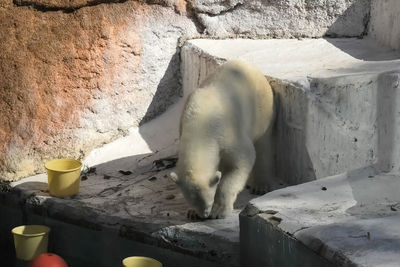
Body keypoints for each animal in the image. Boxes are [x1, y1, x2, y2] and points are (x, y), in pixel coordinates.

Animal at [169, 59, 276, 219]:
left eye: (209, 200)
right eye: (192, 200)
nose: (204, 215)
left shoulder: (228, 133)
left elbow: (242, 161)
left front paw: (219, 210)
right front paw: (192, 213)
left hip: (262, 108)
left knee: (263, 144)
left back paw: (260, 186)